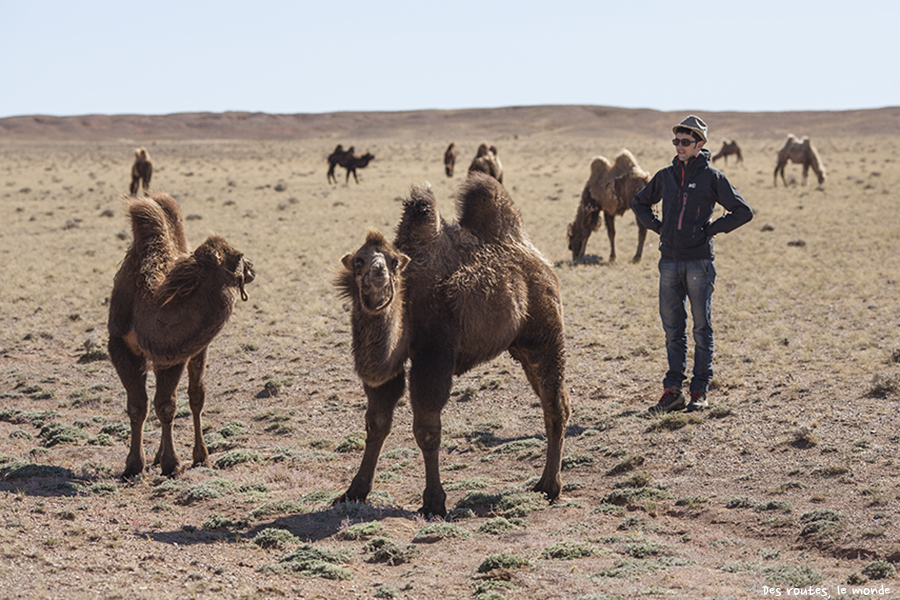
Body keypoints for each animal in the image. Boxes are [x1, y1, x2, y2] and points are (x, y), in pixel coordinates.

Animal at [110, 192, 256, 478]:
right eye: (238, 256)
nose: (253, 268)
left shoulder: (173, 354)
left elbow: (166, 406)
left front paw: (171, 464)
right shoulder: (120, 345)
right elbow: (137, 406)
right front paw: (133, 466)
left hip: (197, 349)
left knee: (196, 396)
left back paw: (200, 457)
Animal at [334, 172, 572, 516]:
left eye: (392, 262)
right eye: (358, 261)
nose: (377, 272)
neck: (407, 305)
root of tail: (537, 258)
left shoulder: (434, 354)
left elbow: (427, 429)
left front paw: (434, 502)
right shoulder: (389, 368)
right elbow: (376, 422)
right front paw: (354, 491)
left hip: (544, 331)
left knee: (555, 403)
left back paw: (549, 487)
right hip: (519, 346)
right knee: (548, 399)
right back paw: (544, 484)